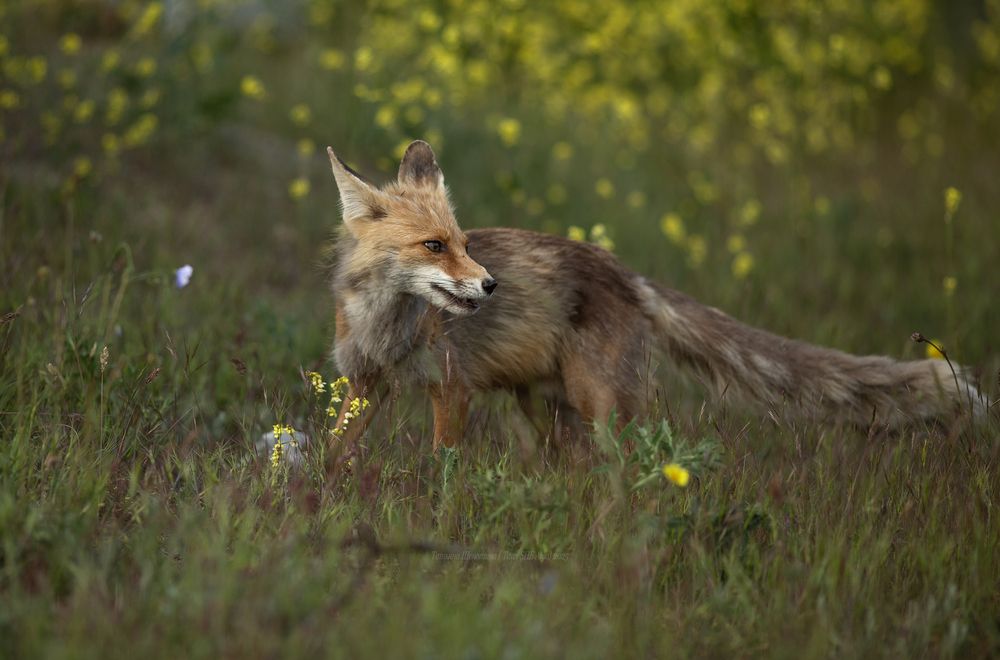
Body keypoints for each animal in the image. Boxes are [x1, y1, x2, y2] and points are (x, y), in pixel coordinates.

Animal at [325, 140, 983, 450]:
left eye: (464, 243)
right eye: (434, 246)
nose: (490, 283)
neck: (389, 330)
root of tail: (626, 272)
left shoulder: (451, 388)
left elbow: (446, 467)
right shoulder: (366, 382)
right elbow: (337, 454)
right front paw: (320, 505)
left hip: (602, 405)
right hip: (547, 407)